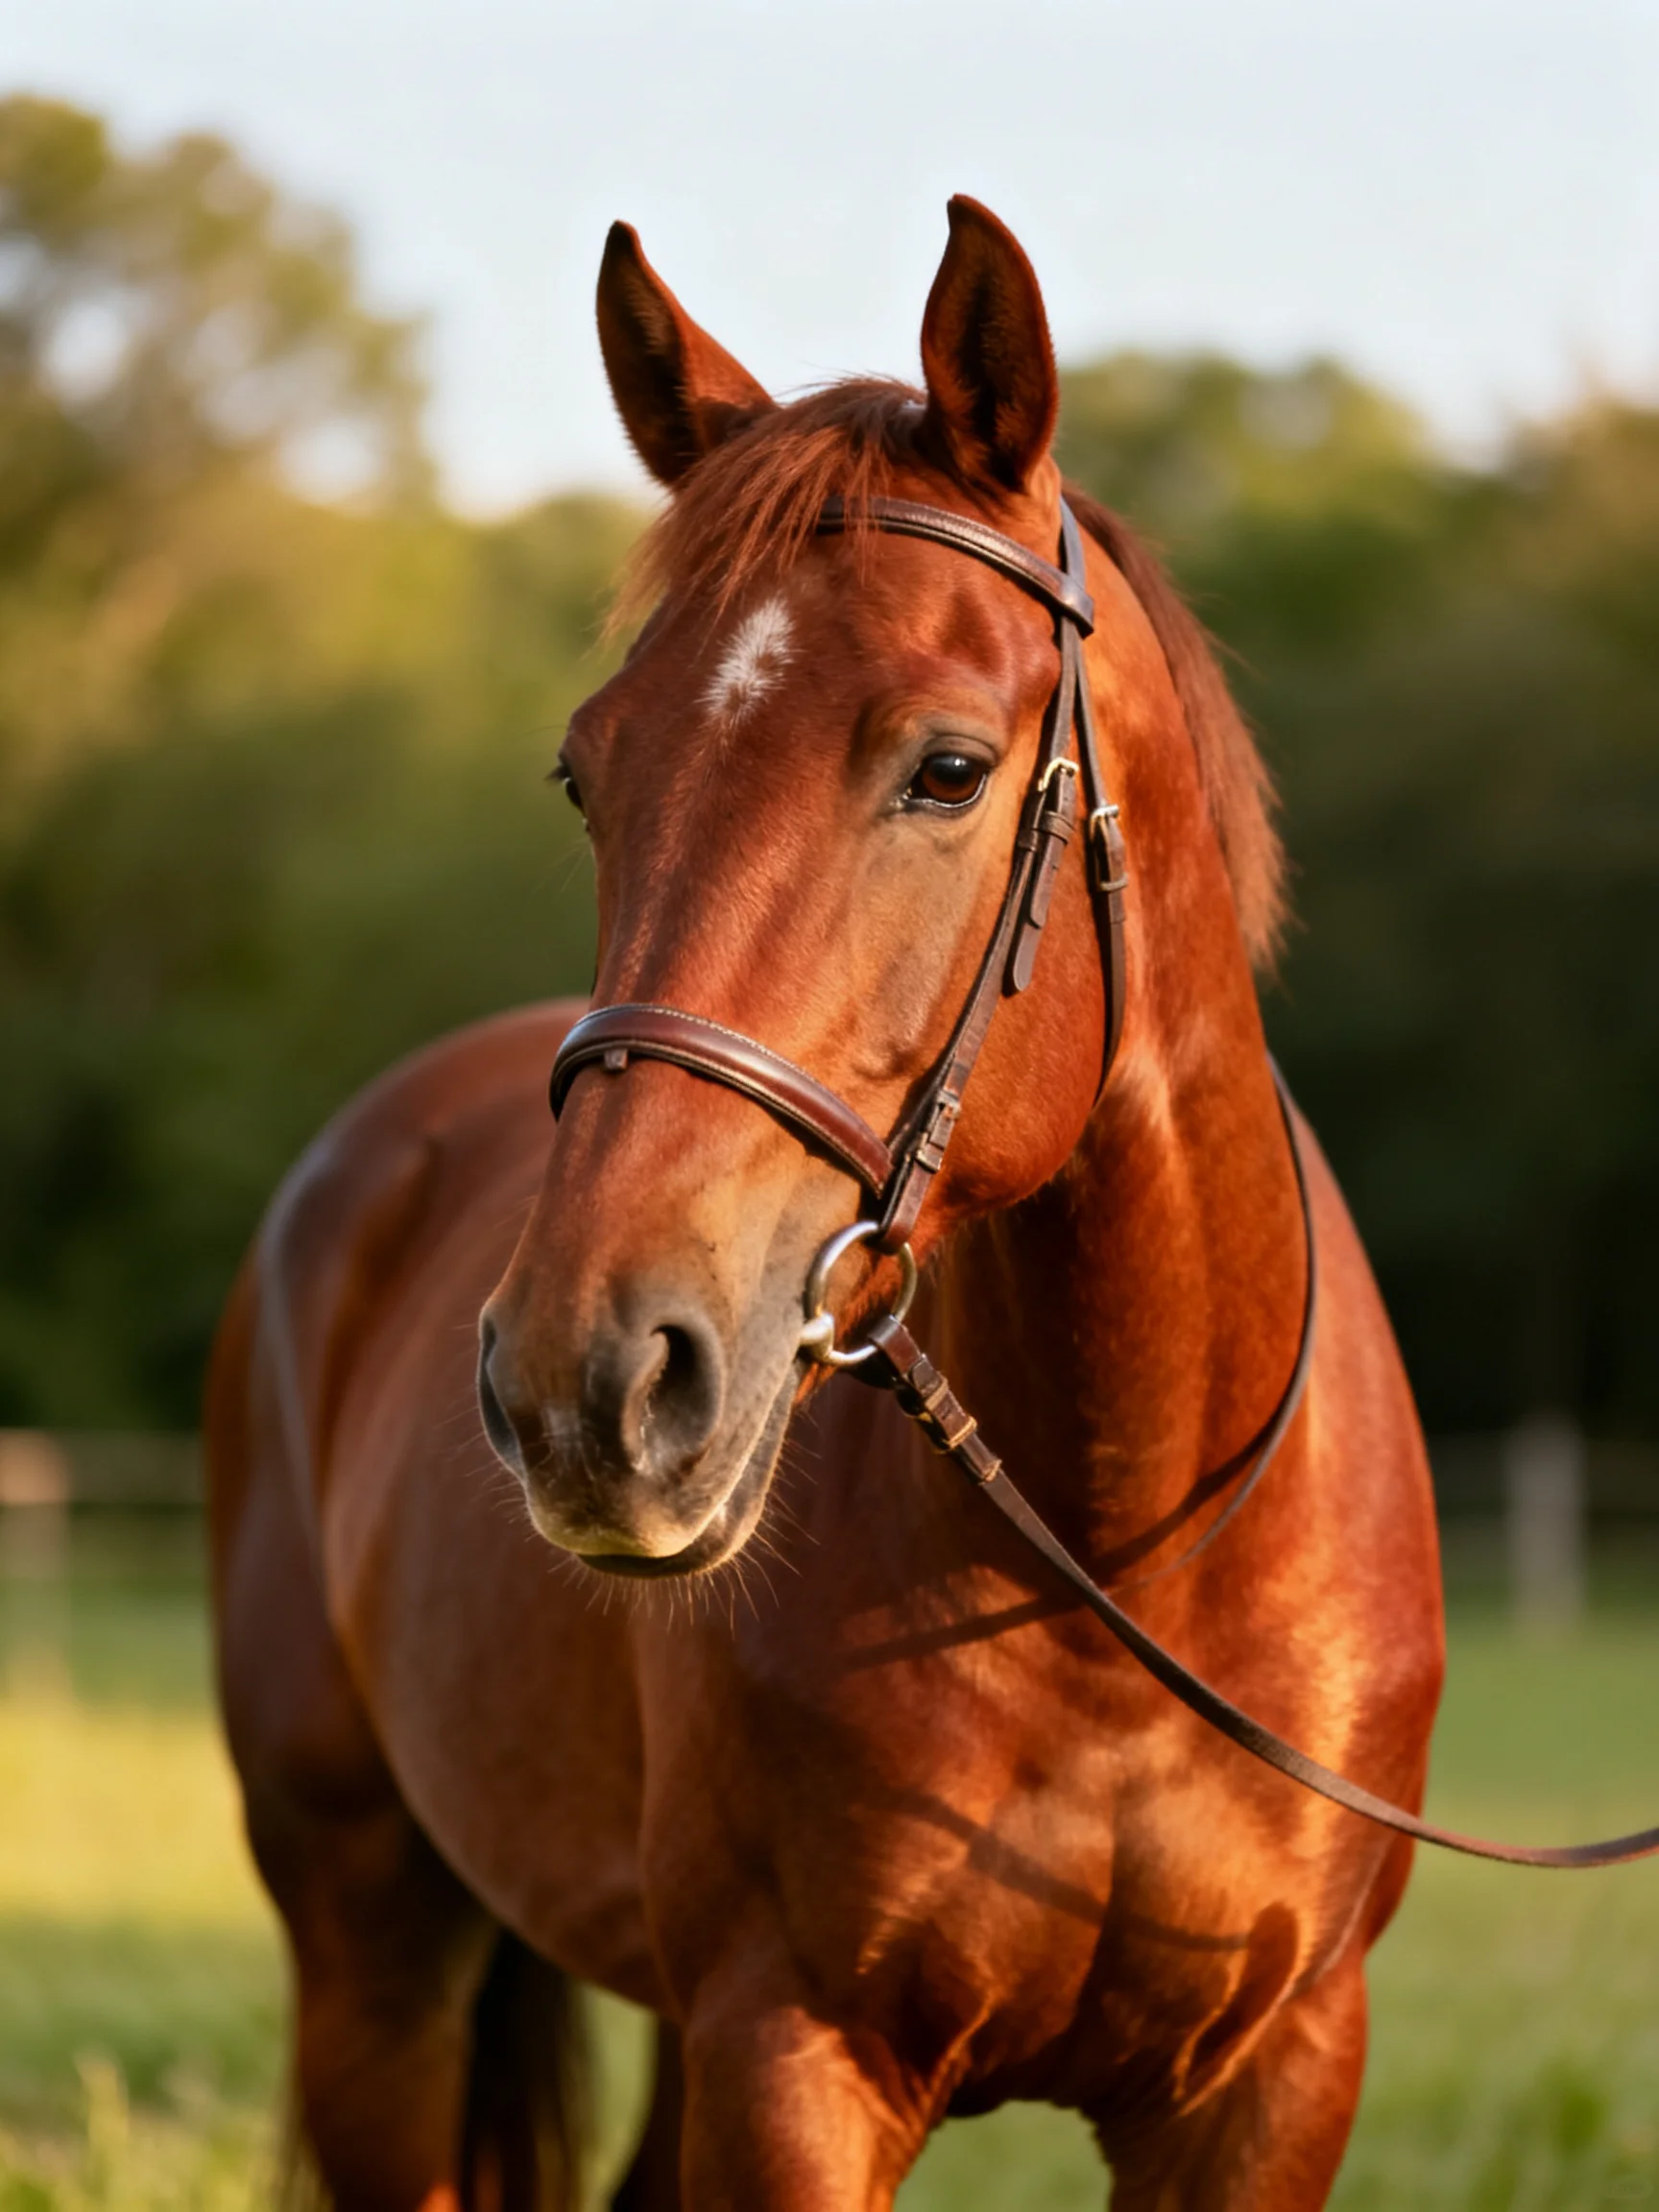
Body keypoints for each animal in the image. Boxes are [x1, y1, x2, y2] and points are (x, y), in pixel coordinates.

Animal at [207, 196, 1445, 2210]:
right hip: (369, 1946)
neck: (1114, 1560)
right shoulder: (789, 2060)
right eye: (587, 770)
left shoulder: (1268, 2084)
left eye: (946, 766)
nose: (585, 1380)